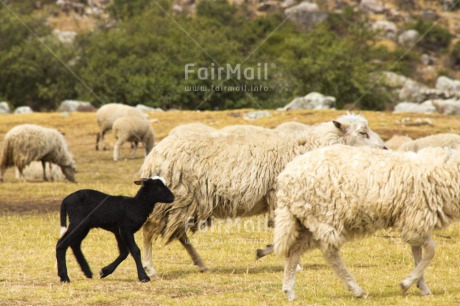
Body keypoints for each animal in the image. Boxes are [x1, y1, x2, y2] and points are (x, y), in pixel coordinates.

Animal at [138, 113, 386, 276]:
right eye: (363, 133)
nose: (384, 149)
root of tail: (153, 156)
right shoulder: (280, 196)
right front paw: (286, 259)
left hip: (187, 203)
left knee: (180, 234)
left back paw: (200, 263)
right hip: (176, 199)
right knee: (150, 229)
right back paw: (151, 269)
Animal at [274, 144, 460, 302]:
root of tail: (286, 178)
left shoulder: (414, 222)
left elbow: (418, 254)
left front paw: (422, 287)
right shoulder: (415, 219)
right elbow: (431, 250)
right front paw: (408, 283)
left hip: (305, 219)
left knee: (293, 251)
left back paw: (289, 291)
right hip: (325, 216)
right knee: (329, 253)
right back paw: (357, 290)